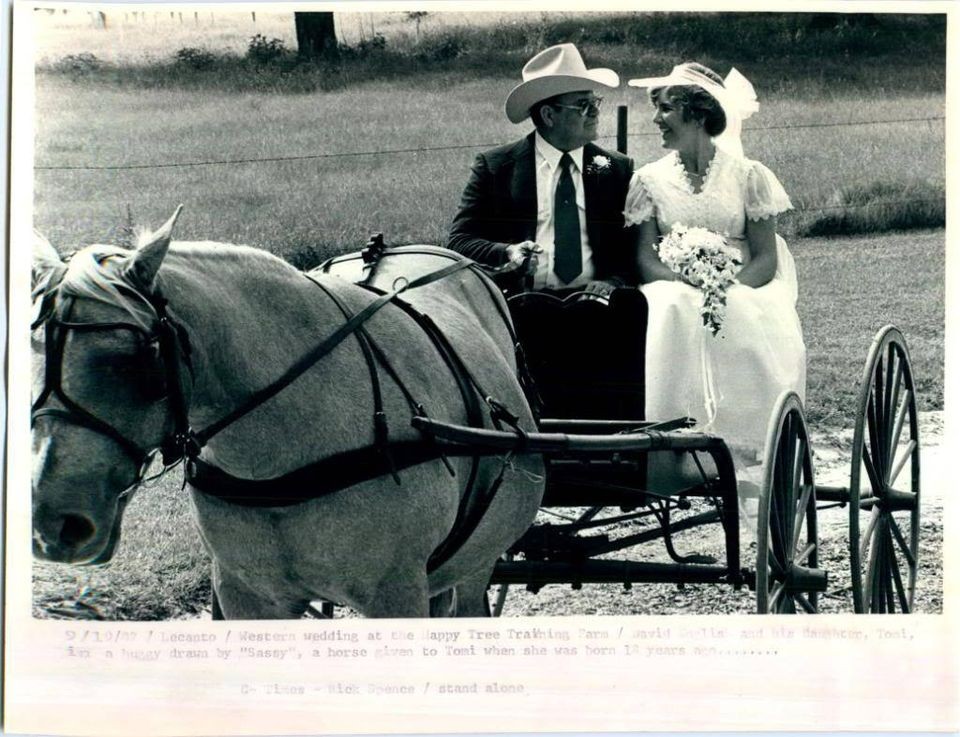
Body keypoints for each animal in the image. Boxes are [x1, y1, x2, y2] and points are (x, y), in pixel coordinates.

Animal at [30, 207, 544, 616]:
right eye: (30, 350)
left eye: (139, 357)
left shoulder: (395, 595)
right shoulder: (247, 596)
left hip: (476, 562)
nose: (55, 523)